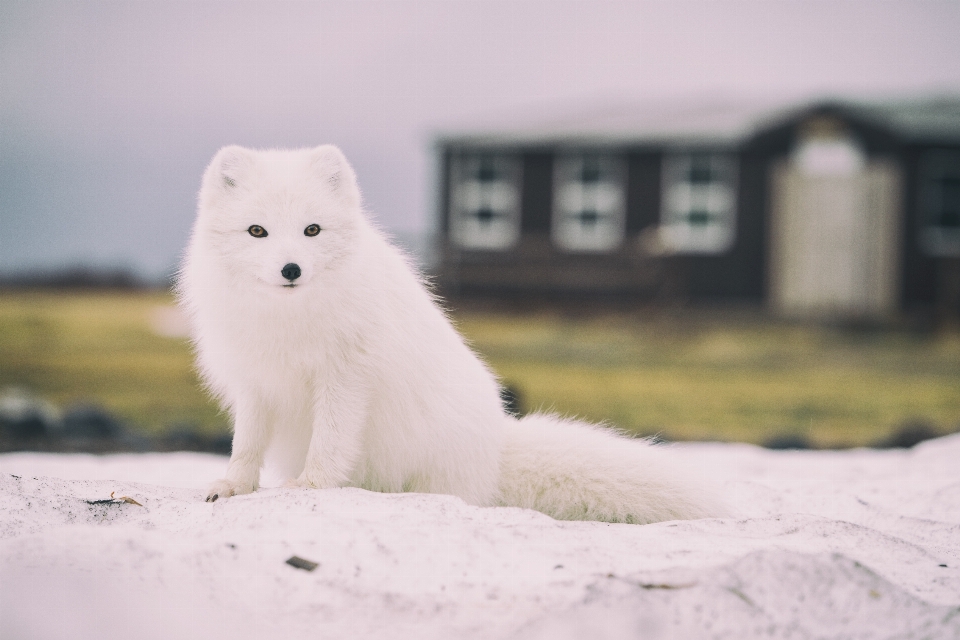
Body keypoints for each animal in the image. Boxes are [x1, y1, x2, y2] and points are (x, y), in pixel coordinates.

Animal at [176, 145, 724, 524]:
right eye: (257, 231)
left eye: (312, 230)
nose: (291, 270)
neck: (287, 320)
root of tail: (496, 448)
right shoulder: (254, 383)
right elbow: (245, 444)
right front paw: (233, 487)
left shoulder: (345, 376)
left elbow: (330, 441)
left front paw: (310, 486)